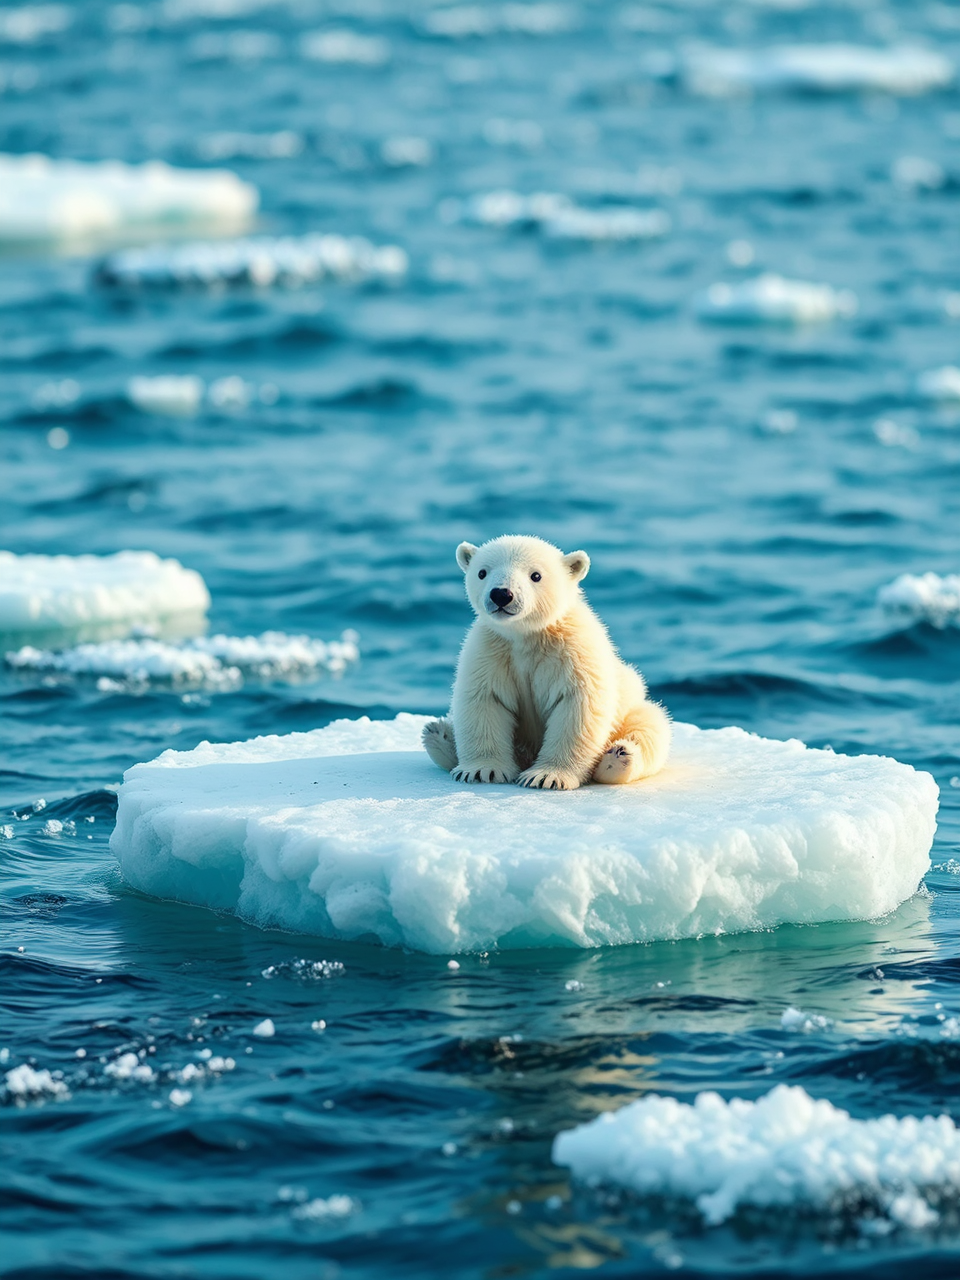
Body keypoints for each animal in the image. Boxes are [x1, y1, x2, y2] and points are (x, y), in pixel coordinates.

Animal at [422, 534, 671, 790]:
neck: (526, 637)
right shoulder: (491, 650)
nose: (501, 594)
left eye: (536, 575)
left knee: (648, 728)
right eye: (482, 572)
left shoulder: (574, 651)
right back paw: (439, 734)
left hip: (631, 708)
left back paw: (617, 757)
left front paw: (546, 776)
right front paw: (483, 770)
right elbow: (485, 699)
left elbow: (578, 706)